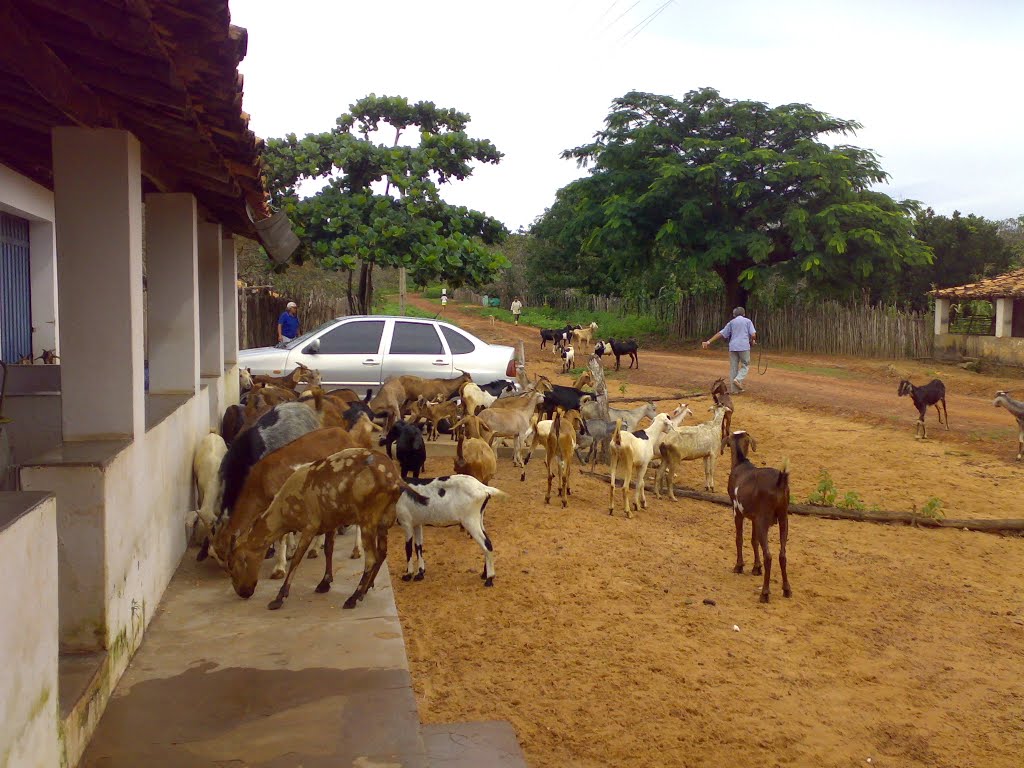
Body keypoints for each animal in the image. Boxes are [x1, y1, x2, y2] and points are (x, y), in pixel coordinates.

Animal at [724, 434, 786, 602]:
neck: (741, 463)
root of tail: (779, 481)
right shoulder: (753, 517)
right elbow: (754, 540)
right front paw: (756, 568)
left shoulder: (737, 510)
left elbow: (739, 538)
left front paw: (739, 566)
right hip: (783, 518)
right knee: (782, 554)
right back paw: (787, 590)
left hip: (763, 521)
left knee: (769, 556)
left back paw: (764, 593)